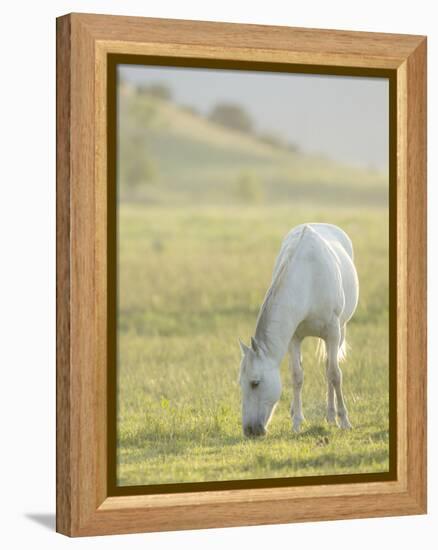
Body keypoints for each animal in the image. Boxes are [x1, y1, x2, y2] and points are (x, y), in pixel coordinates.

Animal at [240, 224, 360, 440]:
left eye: (255, 383)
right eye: (241, 383)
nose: (249, 430)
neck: (308, 279)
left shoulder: (333, 332)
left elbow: (334, 374)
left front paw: (344, 420)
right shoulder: (294, 338)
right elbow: (297, 376)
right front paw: (296, 422)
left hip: (340, 331)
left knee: (329, 368)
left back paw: (332, 416)